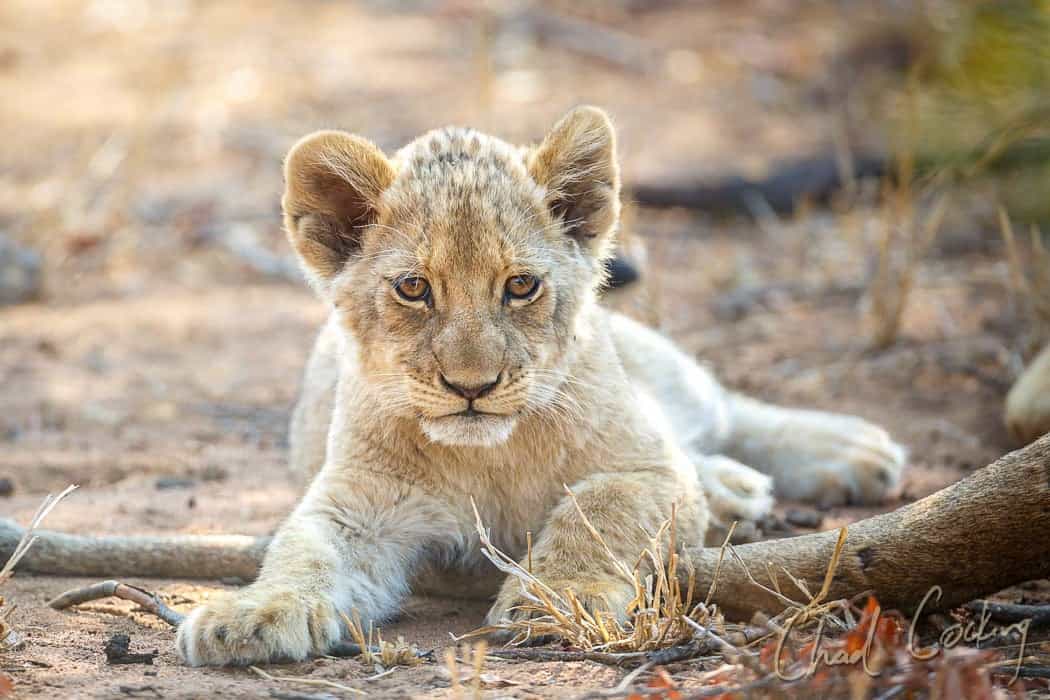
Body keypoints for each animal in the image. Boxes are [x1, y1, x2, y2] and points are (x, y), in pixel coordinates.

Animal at [172, 106, 906, 666]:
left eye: (520, 285)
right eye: (413, 288)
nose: (472, 386)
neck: (489, 455)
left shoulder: (645, 467)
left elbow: (598, 509)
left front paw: (558, 596)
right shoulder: (358, 507)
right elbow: (304, 551)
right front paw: (250, 614)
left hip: (657, 372)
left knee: (724, 409)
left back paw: (849, 453)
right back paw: (737, 490)